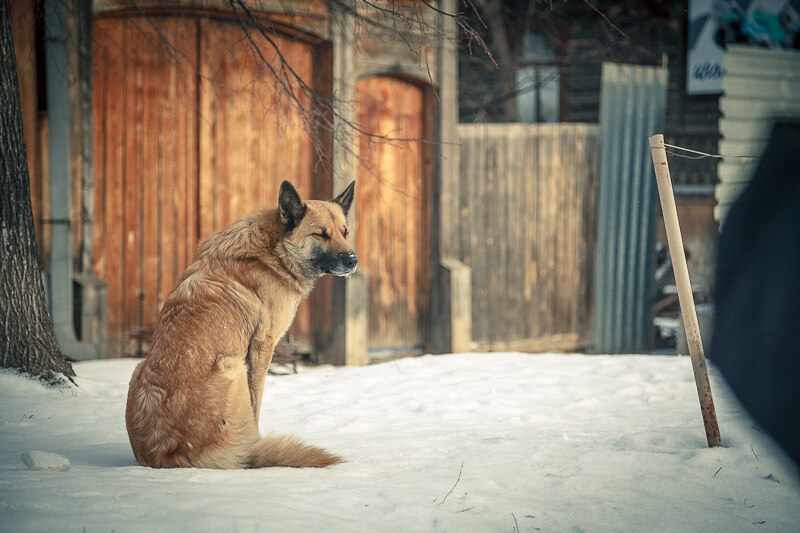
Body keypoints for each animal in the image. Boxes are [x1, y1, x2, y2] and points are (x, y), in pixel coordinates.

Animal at [124, 181, 356, 468]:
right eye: (320, 234)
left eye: (345, 232)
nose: (353, 260)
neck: (275, 250)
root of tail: (168, 454)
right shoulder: (263, 346)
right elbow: (257, 402)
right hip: (233, 364)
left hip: (138, 368)